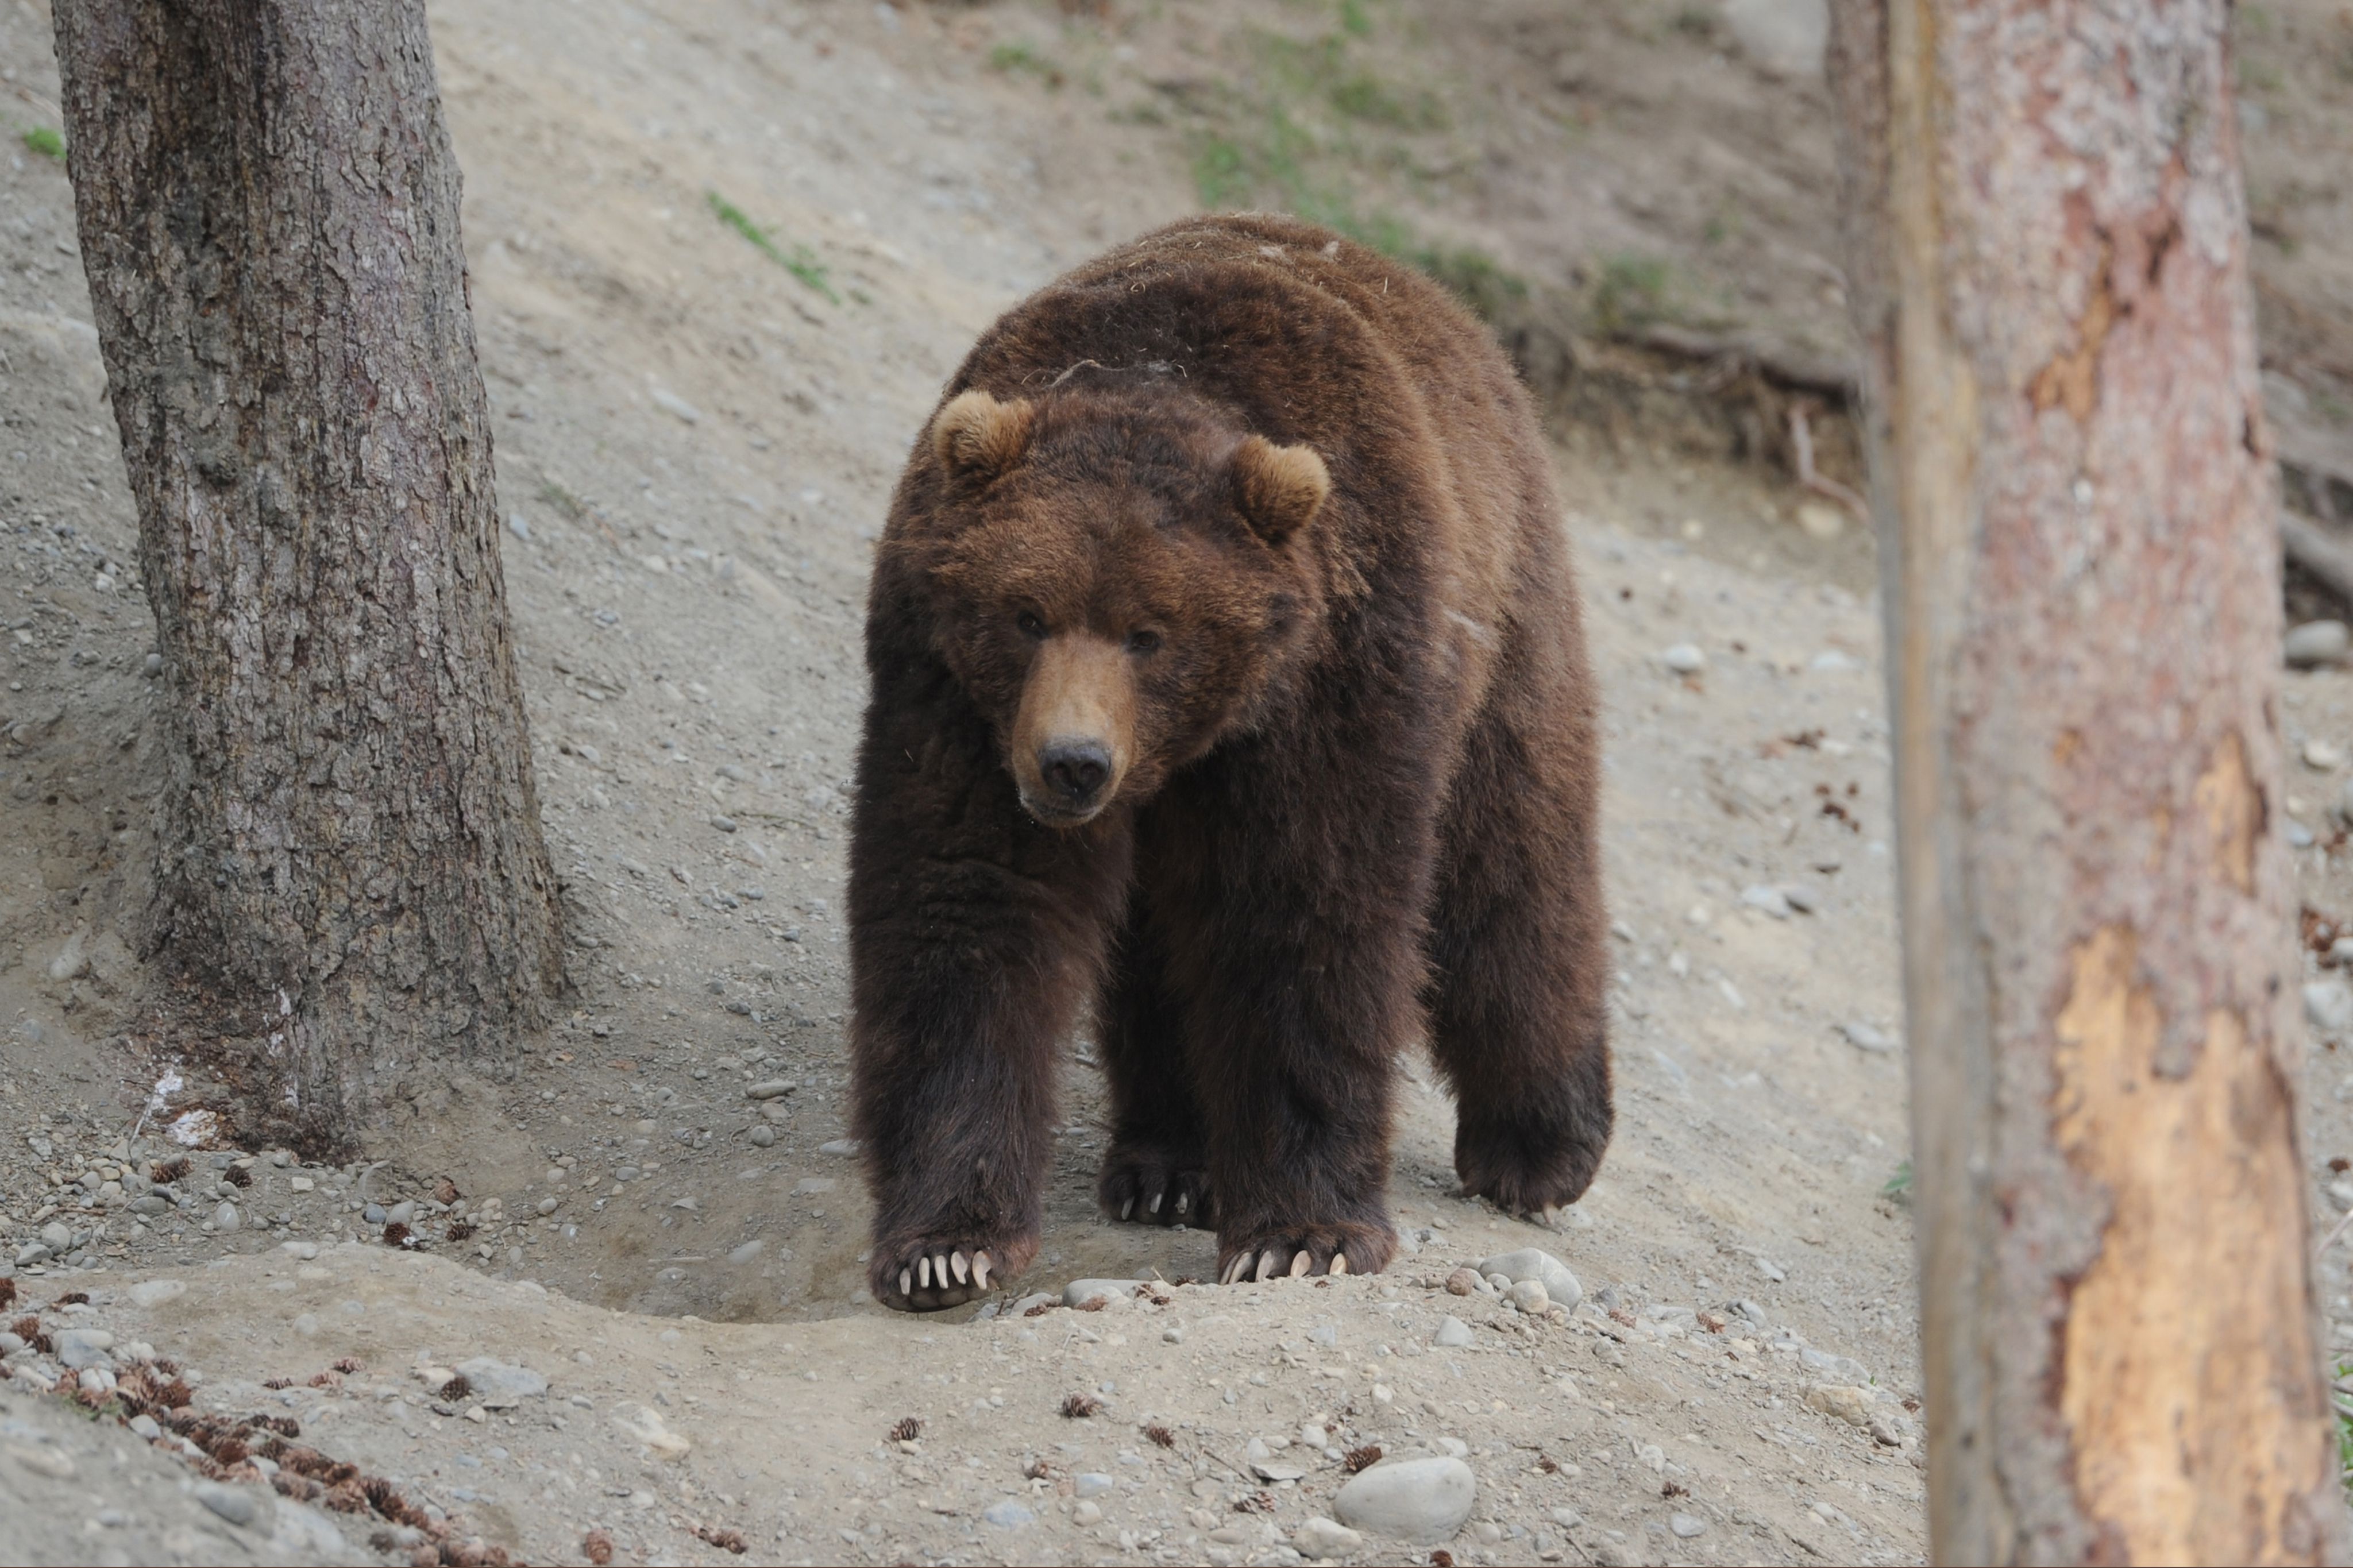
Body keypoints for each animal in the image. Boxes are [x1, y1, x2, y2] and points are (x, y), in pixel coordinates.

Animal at [856, 211, 1609, 1316]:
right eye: (1026, 614)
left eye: (1151, 633)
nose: (1073, 764)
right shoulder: (952, 695)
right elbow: (968, 908)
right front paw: (946, 1245)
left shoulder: (1329, 687)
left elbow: (1300, 918)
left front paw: (1301, 1234)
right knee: (1164, 938)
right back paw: (1170, 1163)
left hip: (1501, 623)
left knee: (1513, 868)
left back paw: (1540, 1145)